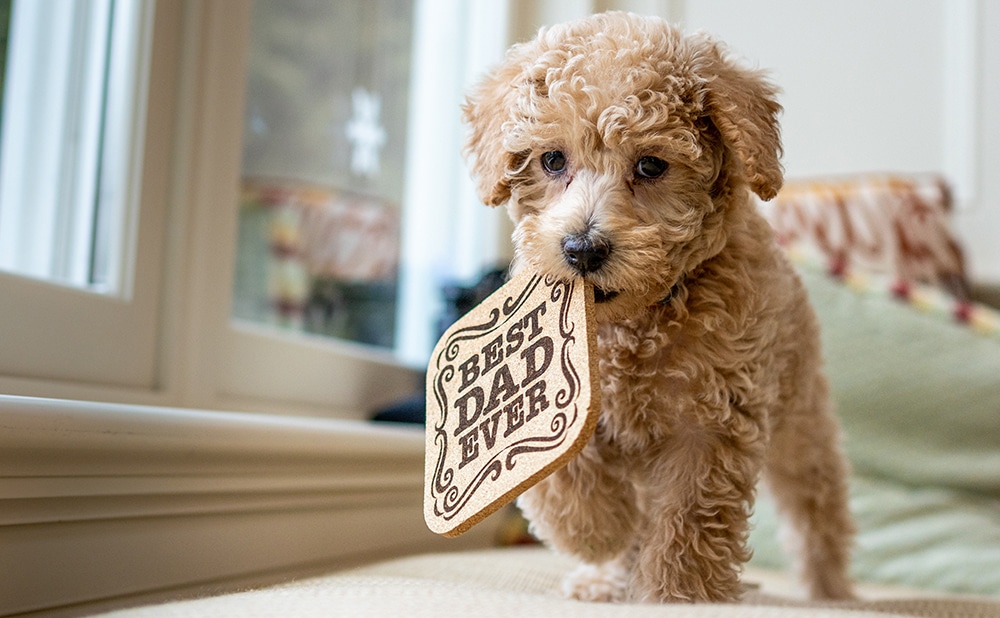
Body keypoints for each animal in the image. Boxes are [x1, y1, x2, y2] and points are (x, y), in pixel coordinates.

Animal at [464, 12, 856, 604]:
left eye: (651, 165)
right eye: (552, 160)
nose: (582, 249)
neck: (636, 321)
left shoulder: (712, 424)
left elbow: (687, 523)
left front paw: (677, 594)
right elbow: (563, 468)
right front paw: (598, 529)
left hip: (801, 423)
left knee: (817, 511)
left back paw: (831, 590)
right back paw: (609, 574)